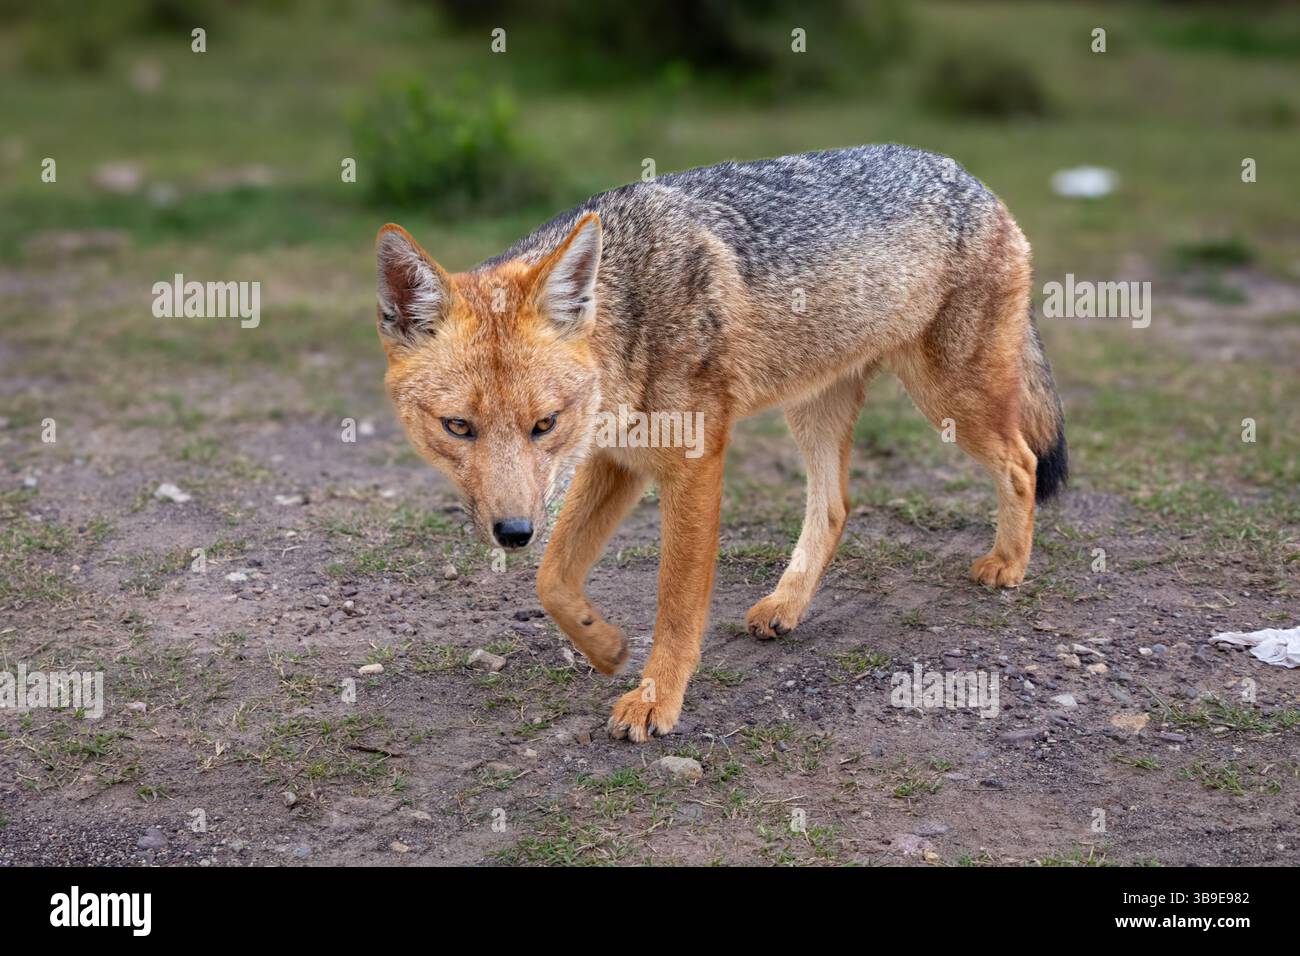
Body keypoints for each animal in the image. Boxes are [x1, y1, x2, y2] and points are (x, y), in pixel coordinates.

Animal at [374, 145, 1067, 743]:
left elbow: (677, 604)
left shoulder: (693, 464)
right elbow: (553, 580)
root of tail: (969, 176)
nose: (513, 533)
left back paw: (1008, 564)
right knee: (836, 505)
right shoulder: (616, 461)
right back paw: (786, 603)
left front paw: (655, 699)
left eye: (545, 424)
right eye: (458, 427)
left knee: (1023, 461)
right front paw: (605, 647)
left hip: (949, 399)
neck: (629, 316)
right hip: (815, 411)